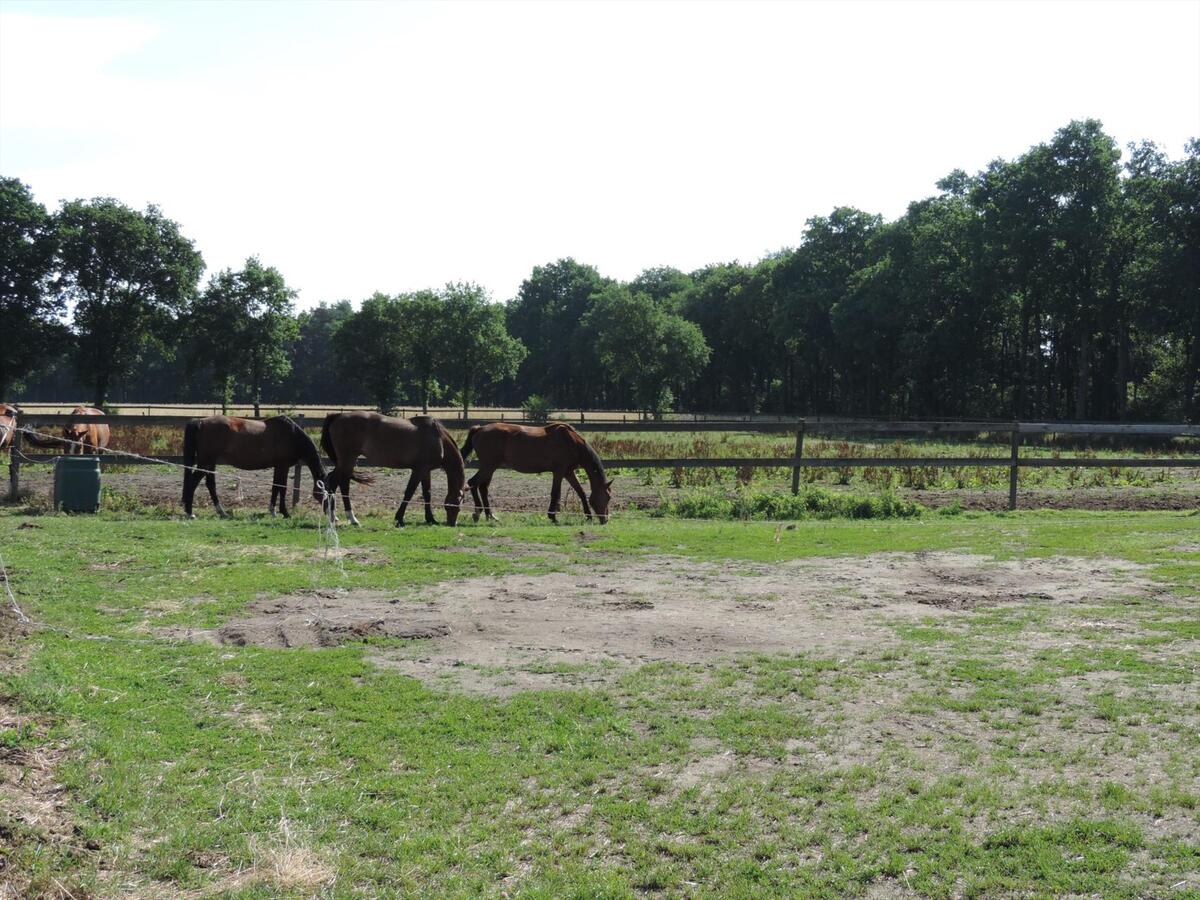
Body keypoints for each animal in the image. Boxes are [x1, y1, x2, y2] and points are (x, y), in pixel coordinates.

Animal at [181, 417, 328, 520]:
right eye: (326, 492)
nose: (331, 514)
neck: (291, 436)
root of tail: (200, 422)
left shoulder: (278, 467)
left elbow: (276, 487)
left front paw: (273, 511)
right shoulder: (283, 466)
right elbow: (282, 488)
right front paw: (285, 513)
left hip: (210, 464)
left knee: (210, 485)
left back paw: (222, 512)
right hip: (206, 463)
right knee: (193, 483)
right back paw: (190, 513)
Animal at [321, 410, 465, 528]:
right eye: (458, 506)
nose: (453, 523)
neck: (438, 438)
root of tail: (338, 416)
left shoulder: (426, 471)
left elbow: (427, 494)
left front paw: (430, 519)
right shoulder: (419, 470)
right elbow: (409, 492)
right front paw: (399, 519)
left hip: (347, 462)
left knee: (341, 484)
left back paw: (346, 518)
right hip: (347, 459)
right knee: (334, 484)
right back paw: (337, 518)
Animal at [456, 424, 614, 525]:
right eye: (608, 497)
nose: (605, 519)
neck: (572, 442)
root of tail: (479, 429)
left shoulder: (569, 472)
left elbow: (580, 492)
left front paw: (588, 516)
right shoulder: (559, 471)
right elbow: (555, 493)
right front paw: (553, 517)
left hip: (490, 467)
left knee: (482, 487)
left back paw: (490, 516)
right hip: (488, 466)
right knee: (472, 483)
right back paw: (477, 512)